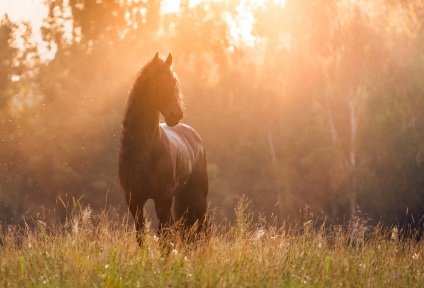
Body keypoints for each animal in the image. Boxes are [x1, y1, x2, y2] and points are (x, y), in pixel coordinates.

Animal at [118, 52, 208, 243]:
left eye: (173, 83)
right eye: (157, 84)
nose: (176, 114)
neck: (145, 152)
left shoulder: (163, 199)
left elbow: (165, 236)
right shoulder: (134, 200)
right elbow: (142, 235)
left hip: (199, 199)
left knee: (200, 230)